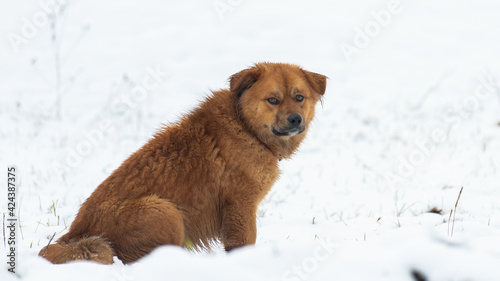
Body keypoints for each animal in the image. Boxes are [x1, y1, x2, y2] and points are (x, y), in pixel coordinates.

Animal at [40, 62, 328, 264]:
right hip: (165, 211)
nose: (295, 119)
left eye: (299, 97)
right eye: (273, 100)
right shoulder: (240, 206)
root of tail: (74, 234)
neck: (245, 128)